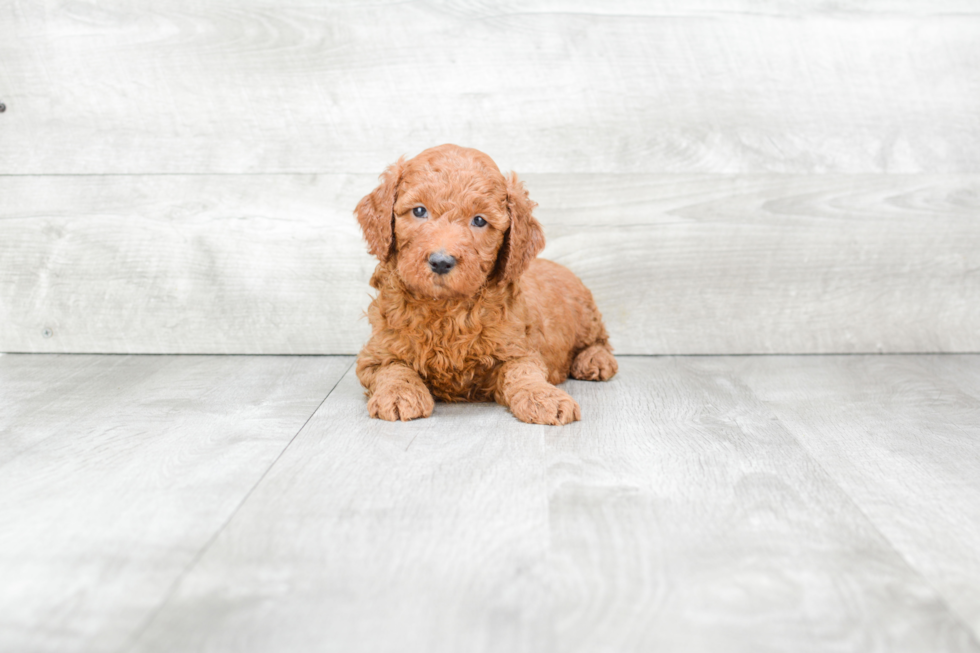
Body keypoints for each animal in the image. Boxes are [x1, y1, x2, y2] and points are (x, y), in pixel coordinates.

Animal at [352, 145, 616, 426]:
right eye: (419, 211)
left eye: (479, 221)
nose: (441, 262)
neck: (445, 309)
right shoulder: (377, 353)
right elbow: (394, 368)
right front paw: (399, 394)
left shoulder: (518, 349)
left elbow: (524, 373)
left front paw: (544, 397)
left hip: (587, 315)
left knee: (599, 341)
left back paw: (595, 361)